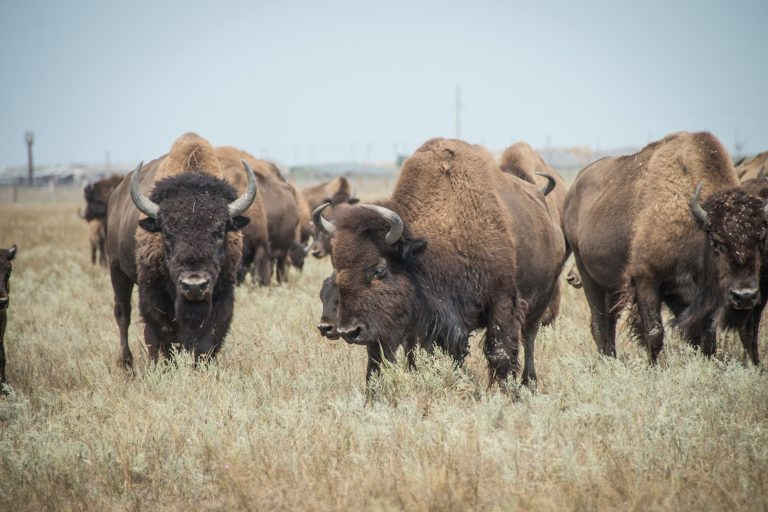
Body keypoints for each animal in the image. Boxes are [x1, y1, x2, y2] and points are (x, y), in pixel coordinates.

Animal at [104, 132, 258, 366]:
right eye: (167, 232)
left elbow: (207, 341)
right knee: (123, 315)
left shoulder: (223, 294)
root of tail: (116, 195)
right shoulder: (152, 294)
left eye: (219, 231)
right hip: (117, 270)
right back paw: (127, 364)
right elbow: (162, 337)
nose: (194, 285)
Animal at [312, 138, 564, 386]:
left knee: (528, 337)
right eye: (338, 269)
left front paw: (502, 390)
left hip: (539, 301)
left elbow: (499, 351)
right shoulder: (435, 324)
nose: (349, 331)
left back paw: (529, 381)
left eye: (379, 269)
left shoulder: (502, 300)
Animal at [560, 132, 764, 364]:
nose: (745, 296)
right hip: (589, 277)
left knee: (609, 323)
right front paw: (655, 367)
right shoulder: (646, 280)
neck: (694, 222)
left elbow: (705, 336)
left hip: (613, 287)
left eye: (760, 239)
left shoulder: (690, 295)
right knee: (599, 323)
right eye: (717, 242)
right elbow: (654, 332)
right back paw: (607, 361)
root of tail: (574, 189)